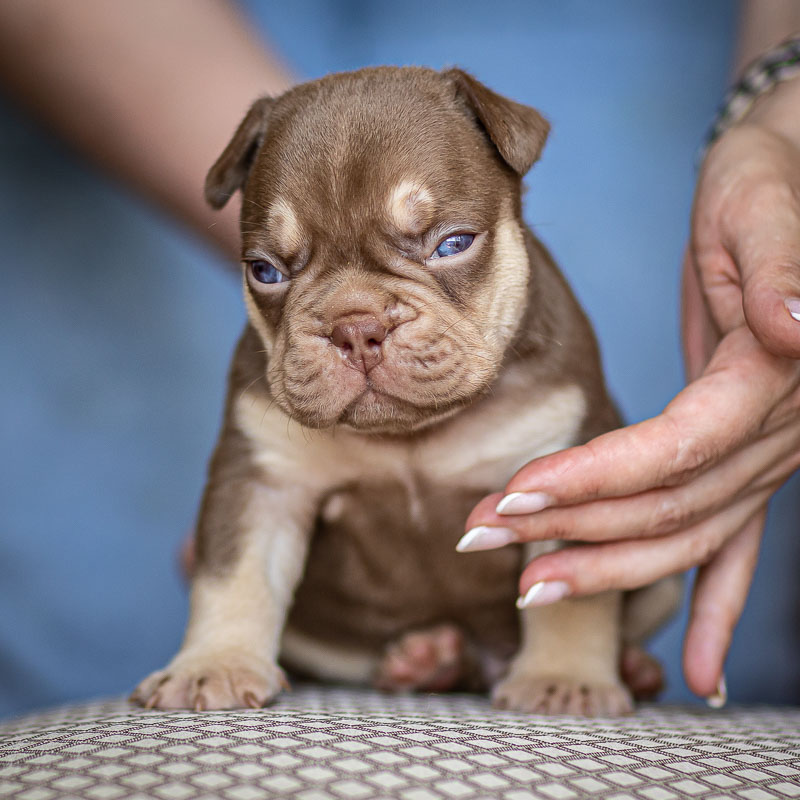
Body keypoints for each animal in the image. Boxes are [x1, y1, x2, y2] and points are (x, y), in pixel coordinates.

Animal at [133, 69, 680, 716]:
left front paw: (564, 678)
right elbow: (233, 574)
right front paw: (212, 664)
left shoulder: (558, 474)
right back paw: (429, 660)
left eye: (453, 244)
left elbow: (565, 592)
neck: (411, 434)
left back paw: (629, 668)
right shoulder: (261, 480)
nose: (355, 326)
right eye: (265, 271)